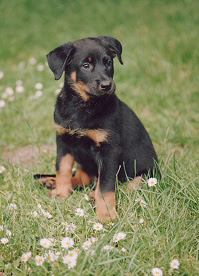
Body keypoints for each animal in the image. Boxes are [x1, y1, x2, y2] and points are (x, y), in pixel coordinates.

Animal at [33, 36, 159, 221]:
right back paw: (51, 181)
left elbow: (106, 186)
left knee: (123, 187)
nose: (107, 85)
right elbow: (62, 169)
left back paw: (93, 195)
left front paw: (106, 214)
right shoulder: (63, 140)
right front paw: (61, 193)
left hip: (145, 176)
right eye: (86, 65)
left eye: (109, 62)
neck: (82, 106)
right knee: (82, 178)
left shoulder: (108, 150)